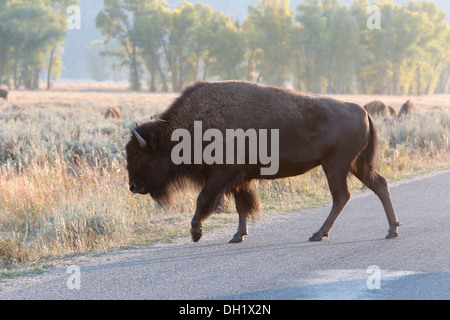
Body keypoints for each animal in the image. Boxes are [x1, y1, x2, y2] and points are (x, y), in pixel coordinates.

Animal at [125, 81, 400, 244]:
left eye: (138, 155)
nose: (133, 186)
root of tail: (363, 111)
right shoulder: (238, 179)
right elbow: (242, 206)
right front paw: (237, 235)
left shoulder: (221, 176)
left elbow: (204, 200)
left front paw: (196, 233)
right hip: (354, 165)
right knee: (379, 185)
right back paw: (392, 229)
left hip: (336, 166)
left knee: (341, 196)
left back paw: (318, 234)